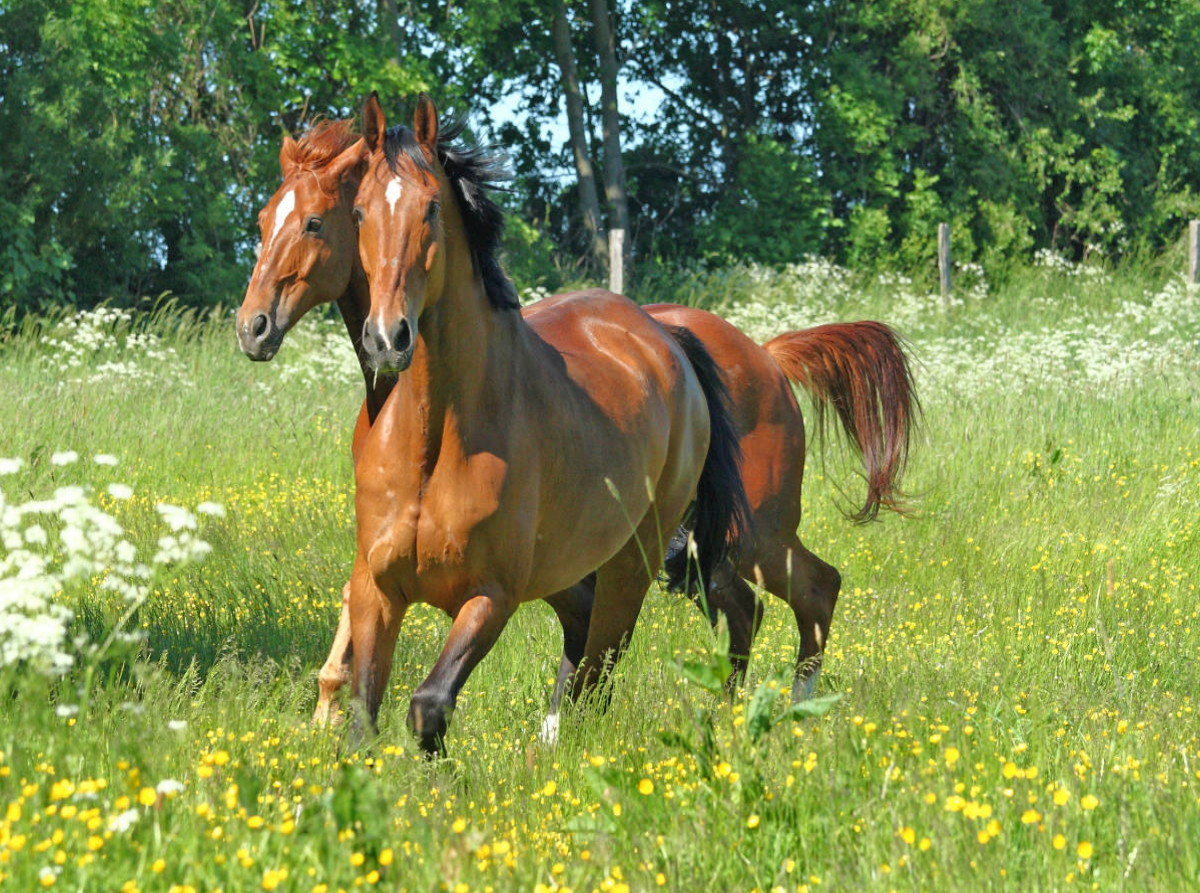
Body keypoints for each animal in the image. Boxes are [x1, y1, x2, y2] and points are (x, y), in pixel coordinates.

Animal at [236, 97, 916, 744]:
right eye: (355, 215)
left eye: (315, 221)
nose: (253, 327)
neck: (434, 432)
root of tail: (760, 357)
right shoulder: (382, 585)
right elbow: (362, 710)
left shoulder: (496, 594)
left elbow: (431, 704)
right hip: (701, 552)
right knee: (728, 617)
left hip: (722, 542)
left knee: (800, 594)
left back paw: (786, 716)